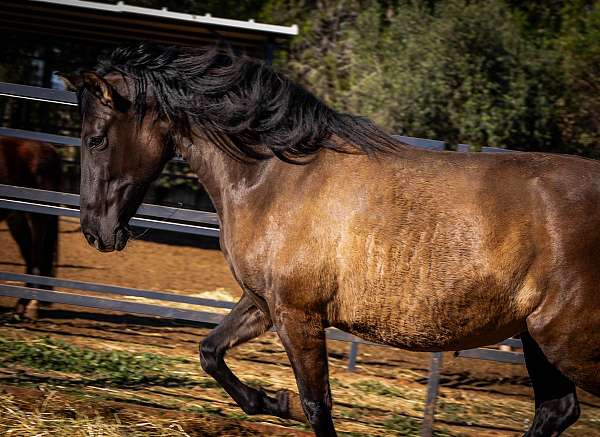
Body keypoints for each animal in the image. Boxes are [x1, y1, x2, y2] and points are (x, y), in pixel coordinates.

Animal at [63, 45, 596, 436]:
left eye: (95, 139)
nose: (95, 232)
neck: (274, 178)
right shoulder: (264, 303)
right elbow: (210, 351)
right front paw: (273, 401)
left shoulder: (298, 315)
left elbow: (318, 404)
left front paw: (286, 402)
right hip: (537, 339)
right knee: (556, 411)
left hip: (568, 342)